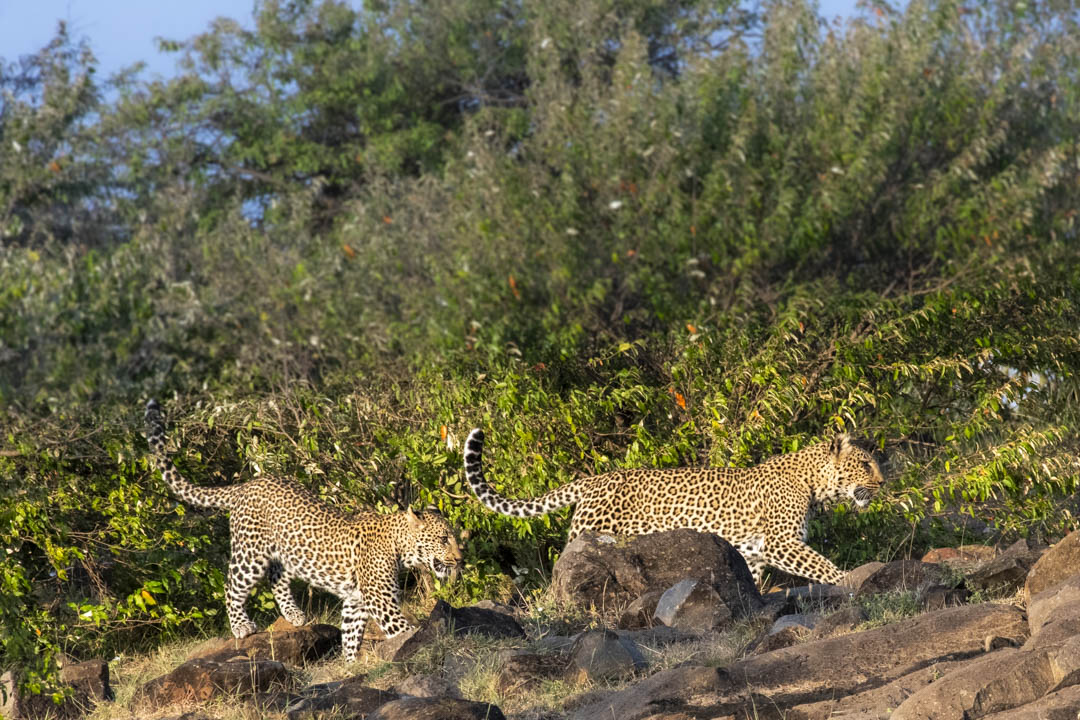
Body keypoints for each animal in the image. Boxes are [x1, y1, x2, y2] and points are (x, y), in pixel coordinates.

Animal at [144, 399, 462, 661]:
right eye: (443, 539)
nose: (460, 559)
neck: (399, 546)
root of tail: (246, 485)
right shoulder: (380, 600)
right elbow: (404, 630)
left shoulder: (356, 602)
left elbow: (350, 635)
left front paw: (350, 664)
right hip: (250, 553)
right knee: (232, 584)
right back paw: (242, 627)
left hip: (285, 553)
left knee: (277, 578)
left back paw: (295, 615)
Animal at [463, 428, 884, 586]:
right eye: (865, 464)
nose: (883, 483)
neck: (815, 483)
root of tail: (594, 479)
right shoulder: (780, 541)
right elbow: (821, 566)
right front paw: (851, 579)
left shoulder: (754, 552)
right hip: (589, 535)